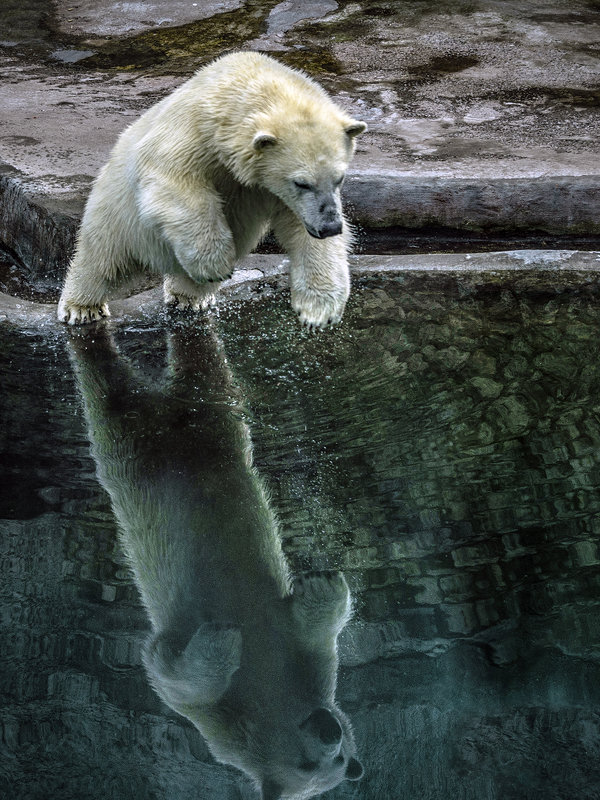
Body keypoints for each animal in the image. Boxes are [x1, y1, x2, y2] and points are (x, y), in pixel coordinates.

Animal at [58, 50, 366, 328]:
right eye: (301, 182)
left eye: (339, 178)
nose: (330, 227)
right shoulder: (194, 132)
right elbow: (173, 180)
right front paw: (215, 263)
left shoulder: (278, 191)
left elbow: (301, 226)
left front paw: (319, 310)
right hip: (118, 205)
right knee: (104, 255)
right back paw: (82, 307)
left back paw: (189, 297)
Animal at [68, 324, 364, 800]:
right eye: (304, 765)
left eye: (337, 760)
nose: (328, 729)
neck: (265, 689)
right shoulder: (214, 717)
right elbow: (169, 668)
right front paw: (223, 638)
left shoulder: (307, 659)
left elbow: (316, 625)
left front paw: (320, 584)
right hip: (129, 457)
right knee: (113, 406)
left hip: (220, 425)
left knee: (210, 381)